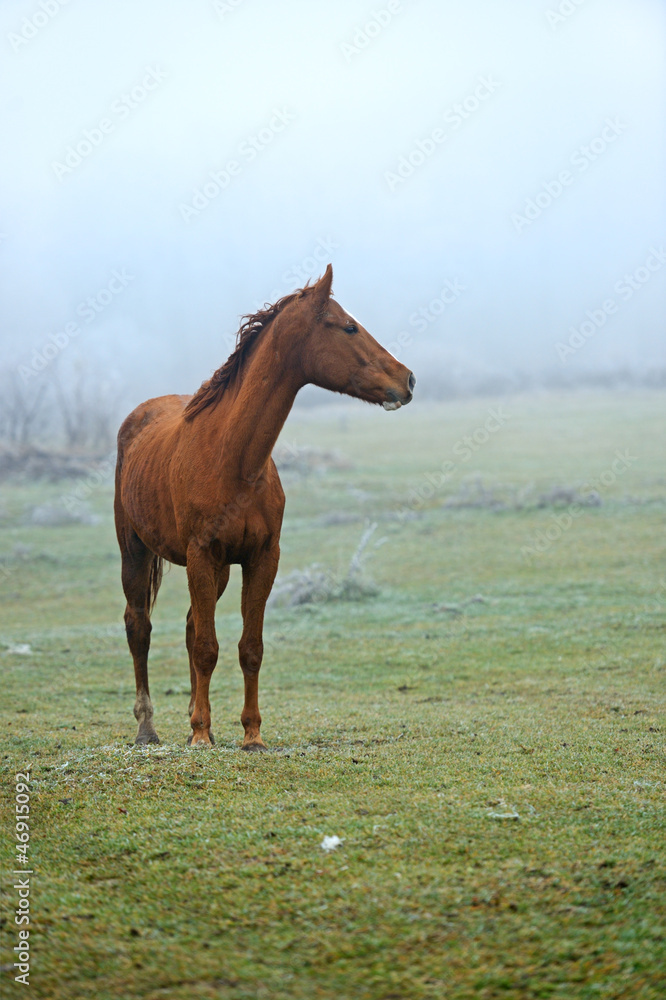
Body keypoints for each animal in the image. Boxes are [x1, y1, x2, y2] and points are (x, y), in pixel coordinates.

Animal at [114, 265, 415, 750]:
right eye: (348, 326)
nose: (407, 380)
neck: (234, 459)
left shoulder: (261, 558)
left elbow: (247, 648)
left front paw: (249, 734)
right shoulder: (201, 555)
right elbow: (208, 648)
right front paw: (202, 737)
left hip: (215, 571)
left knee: (190, 626)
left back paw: (196, 716)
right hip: (136, 551)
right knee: (139, 627)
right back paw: (148, 728)